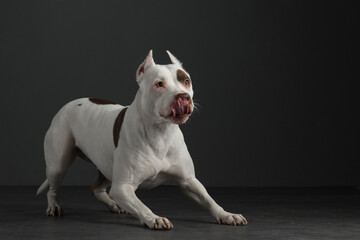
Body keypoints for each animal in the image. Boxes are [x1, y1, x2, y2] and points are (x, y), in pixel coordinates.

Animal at [38, 50, 248, 229]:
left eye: (186, 81)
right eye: (159, 84)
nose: (183, 97)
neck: (161, 132)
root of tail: (69, 104)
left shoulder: (189, 181)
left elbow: (209, 199)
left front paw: (227, 214)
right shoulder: (123, 187)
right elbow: (140, 205)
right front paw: (154, 218)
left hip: (106, 168)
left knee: (96, 188)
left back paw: (114, 205)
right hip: (58, 165)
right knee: (53, 188)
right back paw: (54, 207)